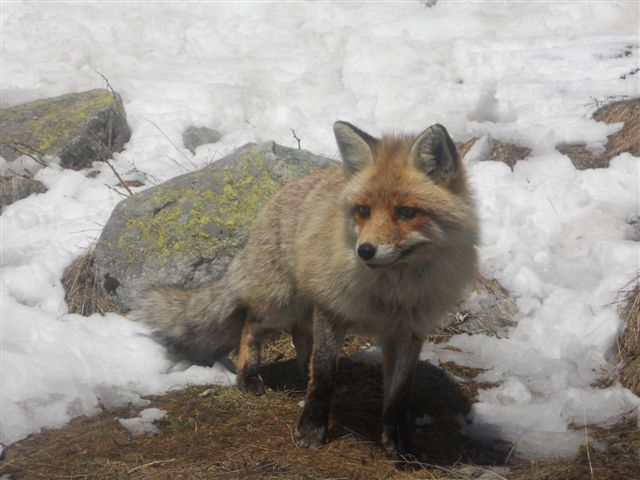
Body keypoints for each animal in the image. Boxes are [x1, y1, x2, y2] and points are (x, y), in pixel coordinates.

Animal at [134, 121, 479, 453]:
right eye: (363, 211)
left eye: (406, 212)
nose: (365, 251)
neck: (389, 293)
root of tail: (285, 190)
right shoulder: (331, 310)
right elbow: (324, 375)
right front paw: (312, 429)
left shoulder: (409, 329)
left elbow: (399, 394)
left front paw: (398, 440)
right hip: (281, 301)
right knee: (251, 321)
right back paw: (249, 375)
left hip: (302, 305)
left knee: (300, 333)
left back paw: (301, 372)